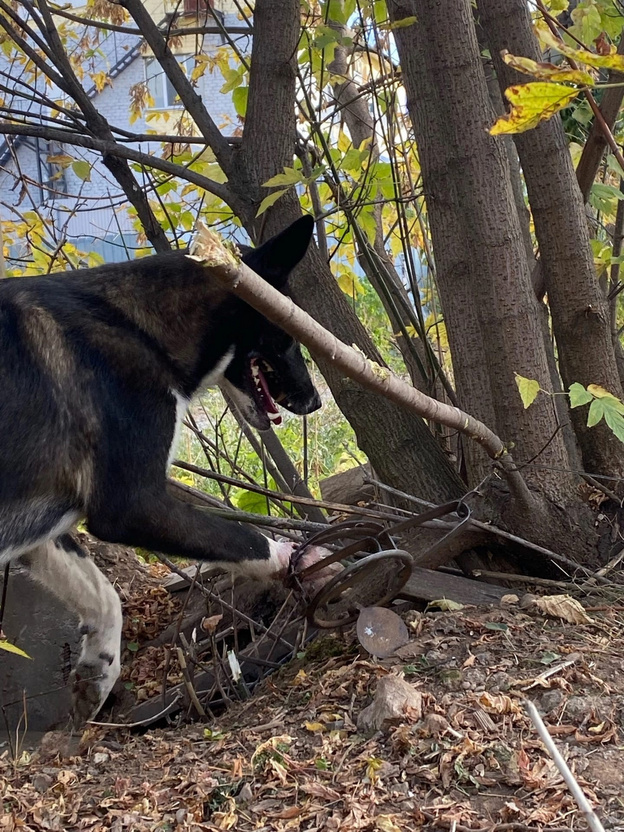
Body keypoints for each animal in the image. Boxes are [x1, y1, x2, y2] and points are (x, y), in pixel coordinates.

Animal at [0, 216, 330, 720]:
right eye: (289, 334)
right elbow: (244, 539)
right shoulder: (131, 505)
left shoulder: (36, 528)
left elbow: (104, 595)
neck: (141, 329)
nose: (314, 401)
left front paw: (98, 671)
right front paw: (299, 559)